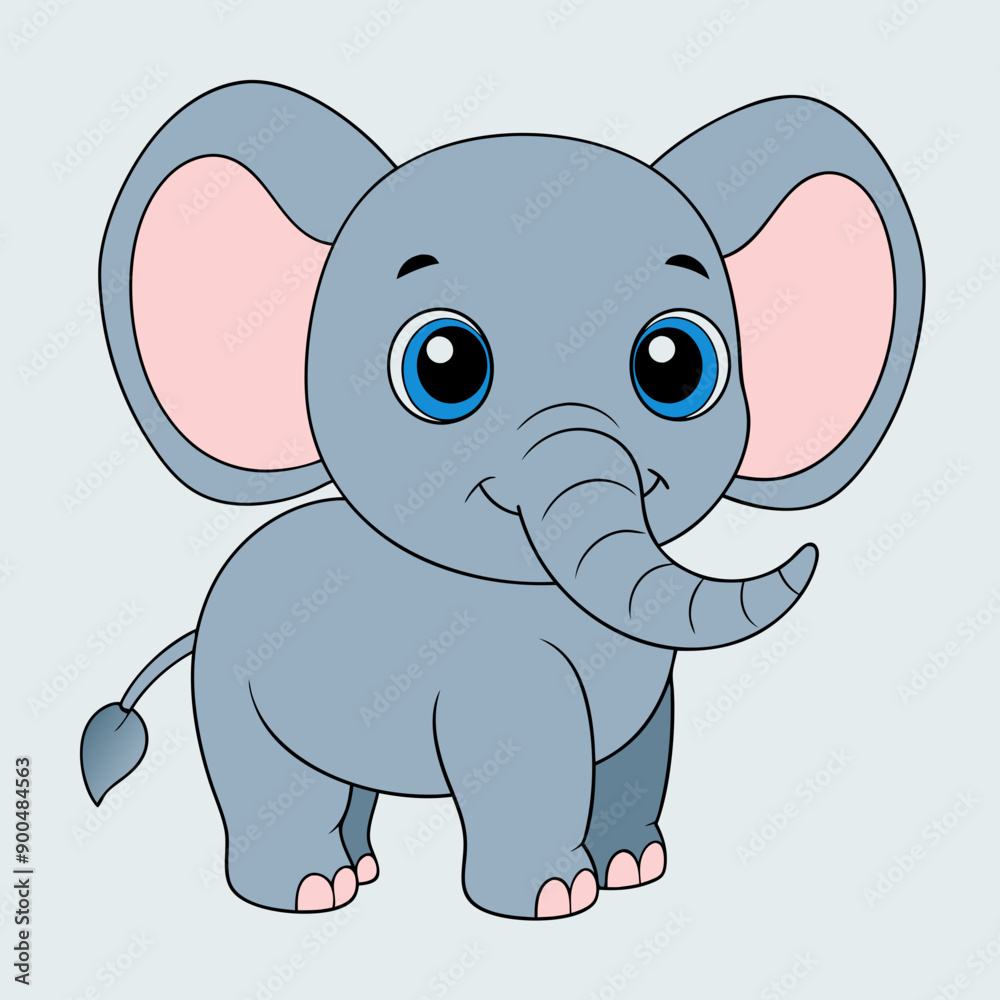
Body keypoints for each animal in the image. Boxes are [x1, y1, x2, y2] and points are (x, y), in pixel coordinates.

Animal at [80, 81, 922, 920]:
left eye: (676, 364)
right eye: (444, 366)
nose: (808, 553)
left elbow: (639, 748)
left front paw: (633, 869)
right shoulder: (498, 673)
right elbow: (528, 752)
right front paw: (557, 898)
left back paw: (361, 869)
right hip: (234, 682)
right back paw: (312, 890)